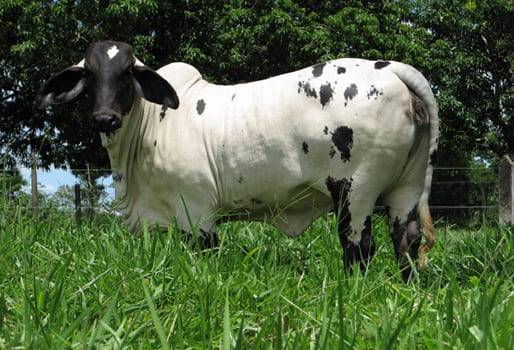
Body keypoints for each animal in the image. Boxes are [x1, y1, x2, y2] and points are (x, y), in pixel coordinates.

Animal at [39, 40, 436, 278]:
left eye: (127, 74)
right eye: (89, 76)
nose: (105, 118)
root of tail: (388, 68)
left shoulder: (197, 211)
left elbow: (205, 254)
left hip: (355, 189)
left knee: (359, 247)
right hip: (408, 186)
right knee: (407, 240)